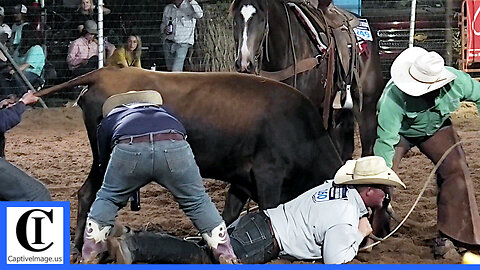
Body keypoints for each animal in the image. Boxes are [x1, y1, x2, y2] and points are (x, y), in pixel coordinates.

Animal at [35, 67, 344, 251]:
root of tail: (104, 72)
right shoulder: (269, 175)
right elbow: (271, 210)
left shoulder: (243, 180)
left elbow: (229, 214)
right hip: (107, 159)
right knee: (90, 193)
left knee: (86, 192)